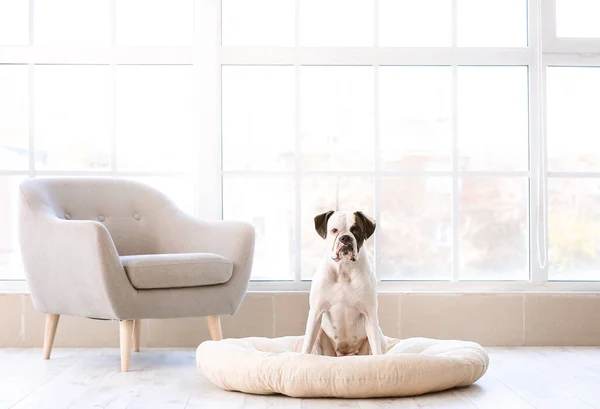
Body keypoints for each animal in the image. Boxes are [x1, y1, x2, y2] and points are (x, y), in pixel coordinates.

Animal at [302, 209, 386, 356]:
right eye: (334, 230)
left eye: (356, 230)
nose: (345, 238)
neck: (344, 269)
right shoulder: (316, 312)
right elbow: (307, 344)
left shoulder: (370, 314)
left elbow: (376, 347)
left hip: (380, 336)